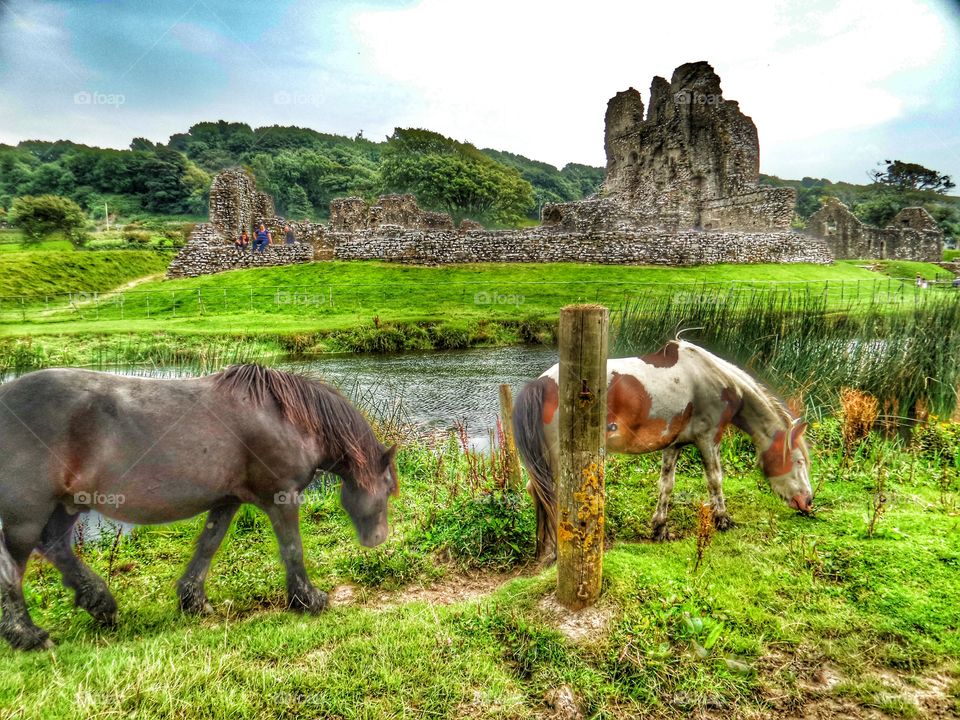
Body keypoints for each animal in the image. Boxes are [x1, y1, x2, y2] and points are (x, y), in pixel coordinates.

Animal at [0, 362, 398, 648]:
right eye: (388, 486)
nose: (377, 539)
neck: (287, 419)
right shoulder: (281, 497)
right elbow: (292, 549)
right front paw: (309, 599)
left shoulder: (228, 501)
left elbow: (208, 545)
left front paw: (192, 600)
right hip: (26, 514)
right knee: (13, 568)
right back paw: (27, 635)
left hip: (66, 505)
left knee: (55, 546)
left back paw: (101, 603)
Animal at [512, 338, 812, 556]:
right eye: (799, 461)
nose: (808, 502)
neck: (717, 380)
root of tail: (541, 382)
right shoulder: (708, 438)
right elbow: (715, 480)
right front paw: (723, 520)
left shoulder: (674, 444)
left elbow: (666, 485)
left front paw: (660, 529)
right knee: (552, 495)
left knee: (537, 492)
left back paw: (544, 549)